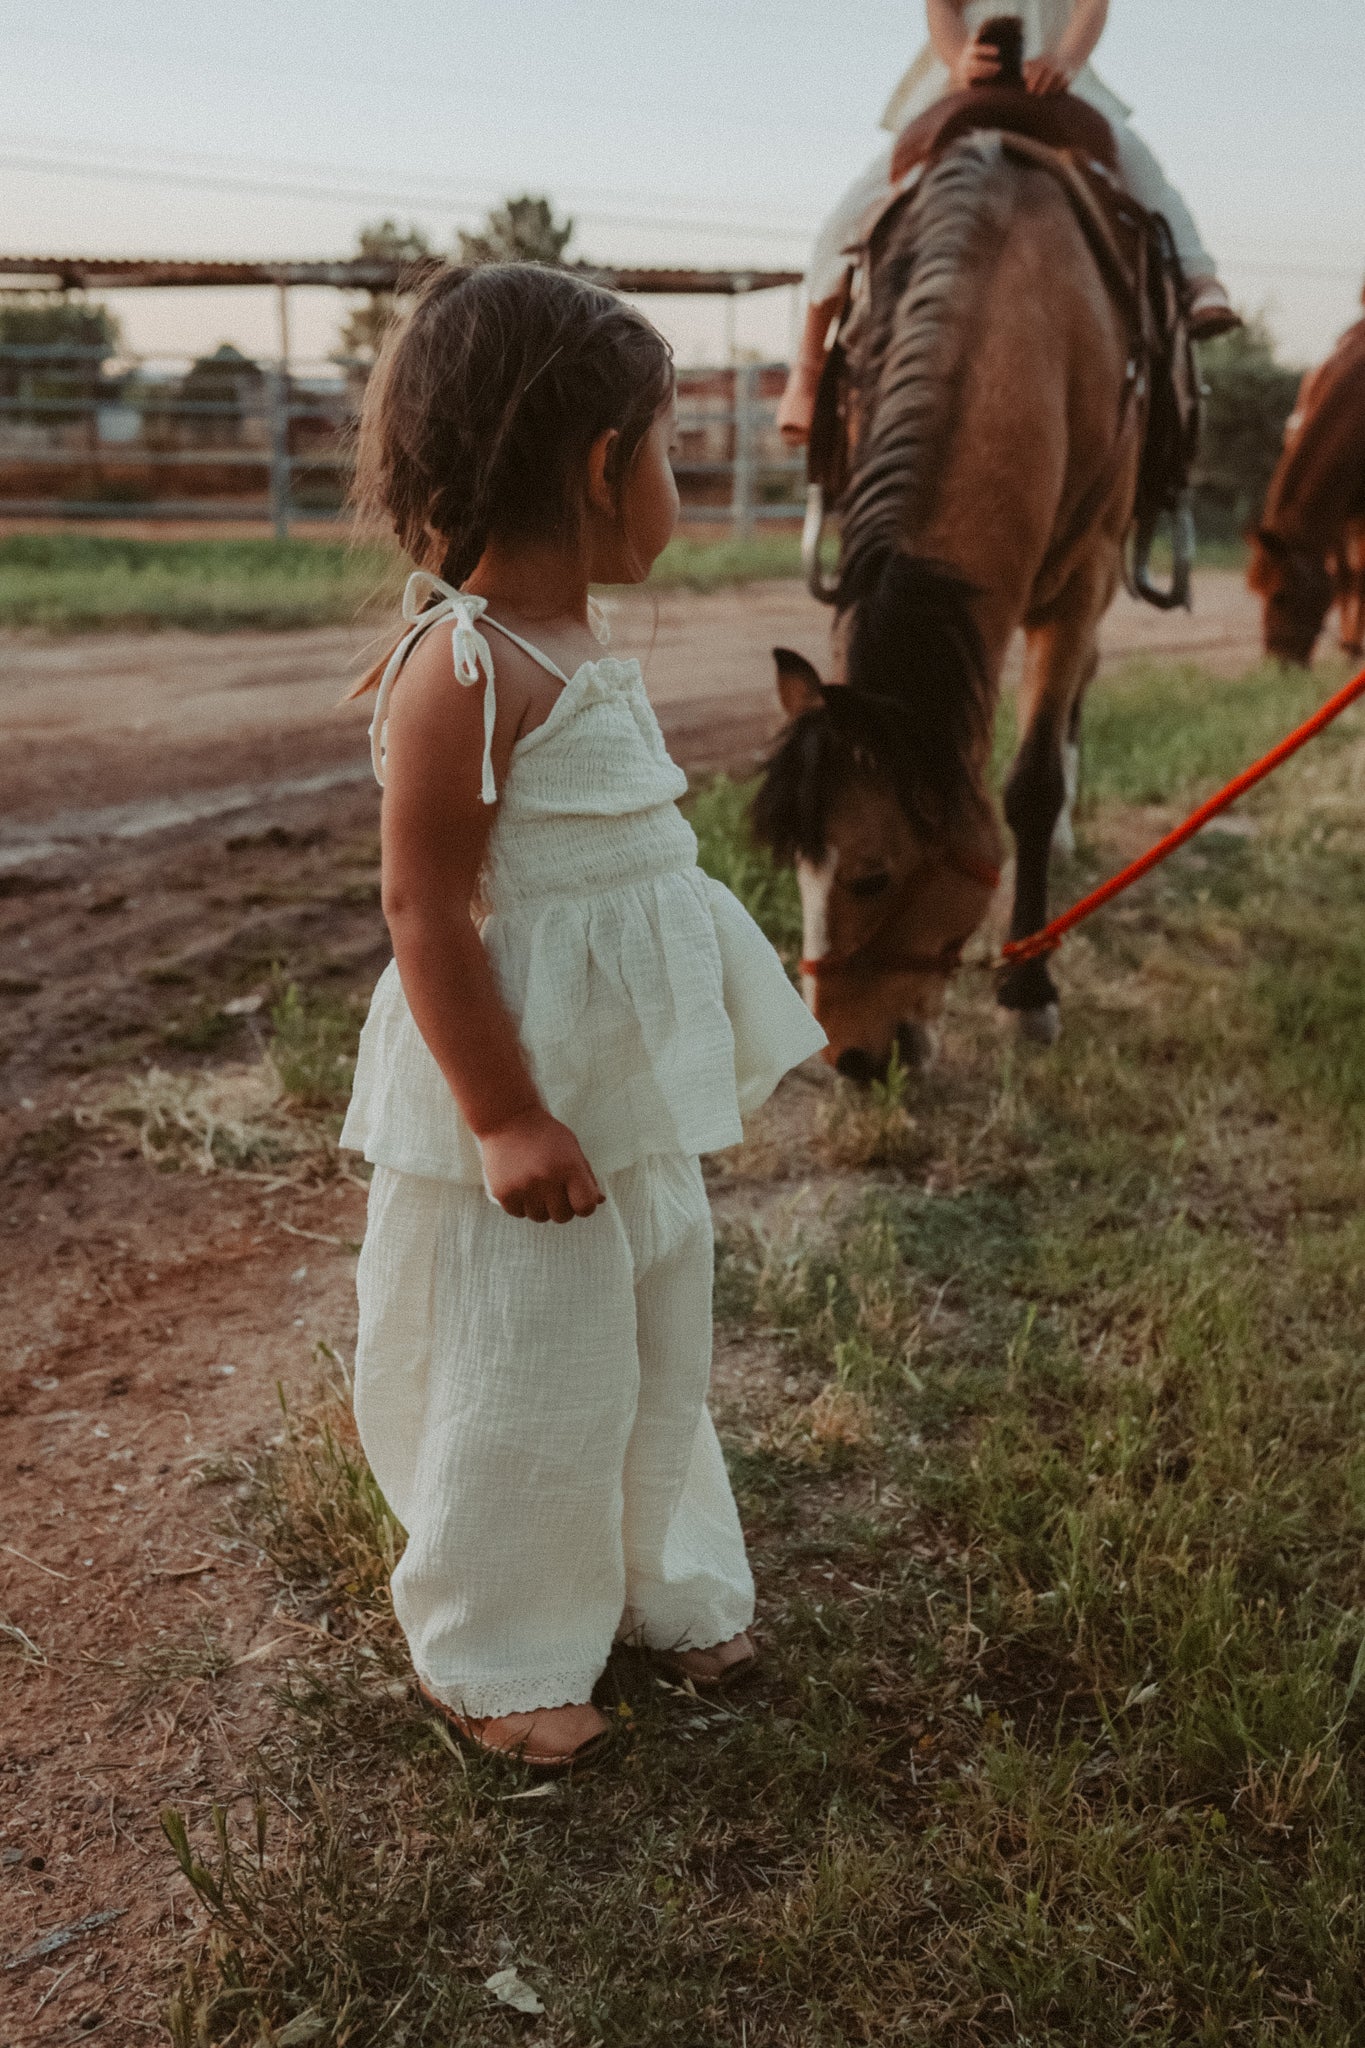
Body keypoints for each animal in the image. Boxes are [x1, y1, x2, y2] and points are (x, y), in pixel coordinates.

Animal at [1252, 315, 1365, 663]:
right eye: (1259, 592)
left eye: (1281, 595)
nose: (1278, 665)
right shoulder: (1340, 513)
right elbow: (1345, 576)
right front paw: (1349, 649)